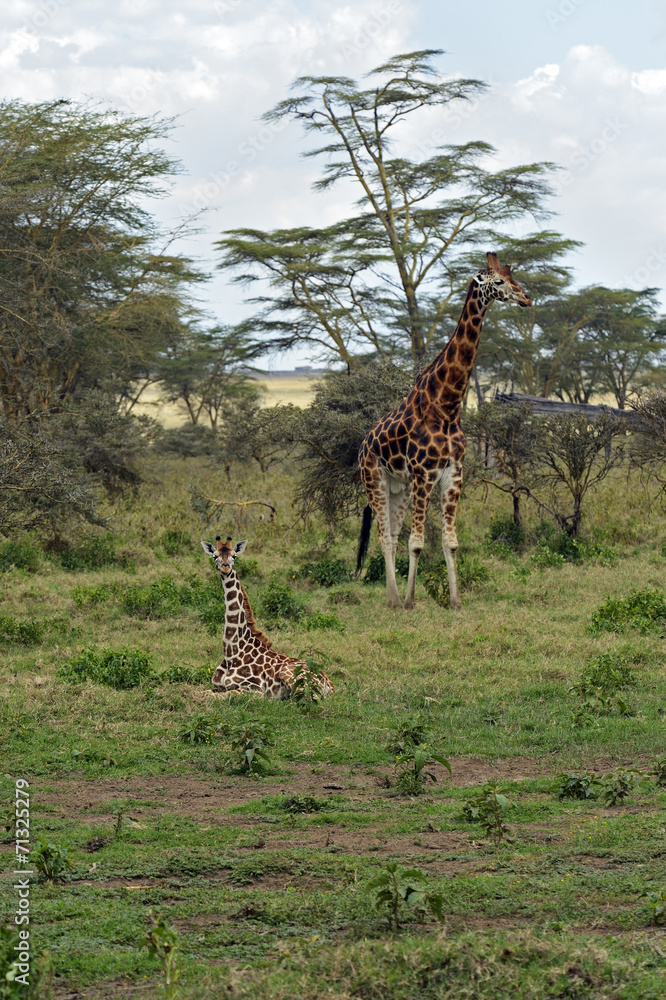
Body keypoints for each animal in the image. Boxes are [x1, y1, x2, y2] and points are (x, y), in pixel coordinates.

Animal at [201, 536, 335, 698]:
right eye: (215, 556)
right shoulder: (218, 686)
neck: (232, 653)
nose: (225, 568)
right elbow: (202, 692)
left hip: (293, 677)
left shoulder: (254, 689)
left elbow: (209, 695)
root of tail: (329, 683)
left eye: (234, 556)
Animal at [357, 252, 532, 610]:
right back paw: (396, 600)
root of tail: (363, 444)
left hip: (399, 486)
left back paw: (393, 599)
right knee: (383, 535)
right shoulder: (425, 473)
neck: (447, 407)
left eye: (514, 277)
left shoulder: (453, 473)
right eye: (499, 281)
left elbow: (450, 542)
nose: (526, 297)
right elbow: (417, 542)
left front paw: (456, 601)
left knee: (391, 534)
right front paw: (412, 602)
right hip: (374, 479)